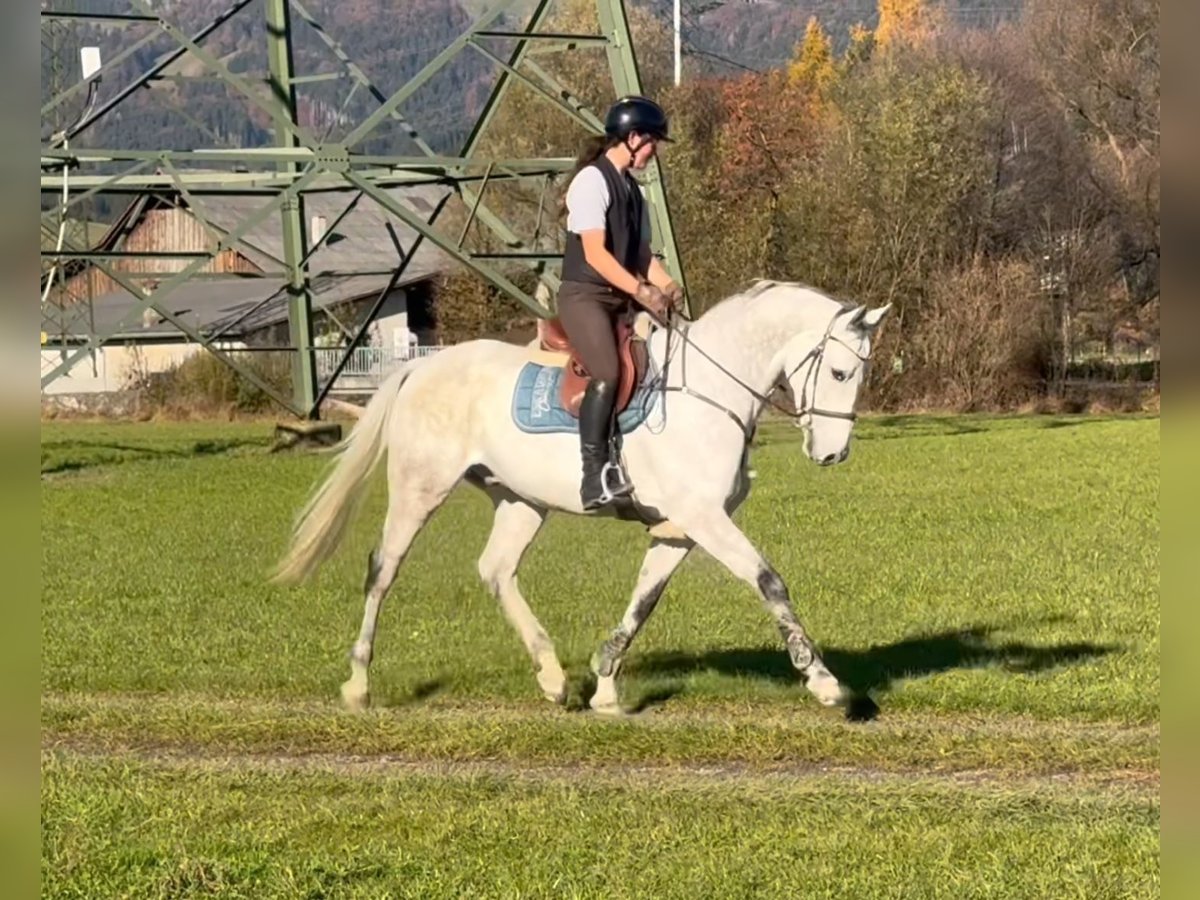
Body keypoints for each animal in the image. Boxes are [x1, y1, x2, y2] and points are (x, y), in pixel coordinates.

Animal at [274, 282, 892, 720]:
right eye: (840, 371)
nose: (832, 454)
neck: (711, 391)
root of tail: (424, 364)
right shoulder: (704, 519)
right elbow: (769, 582)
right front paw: (823, 681)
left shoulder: (679, 528)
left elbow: (643, 601)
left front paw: (606, 685)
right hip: (420, 486)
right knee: (383, 570)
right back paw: (358, 684)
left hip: (520, 501)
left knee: (496, 570)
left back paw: (553, 677)